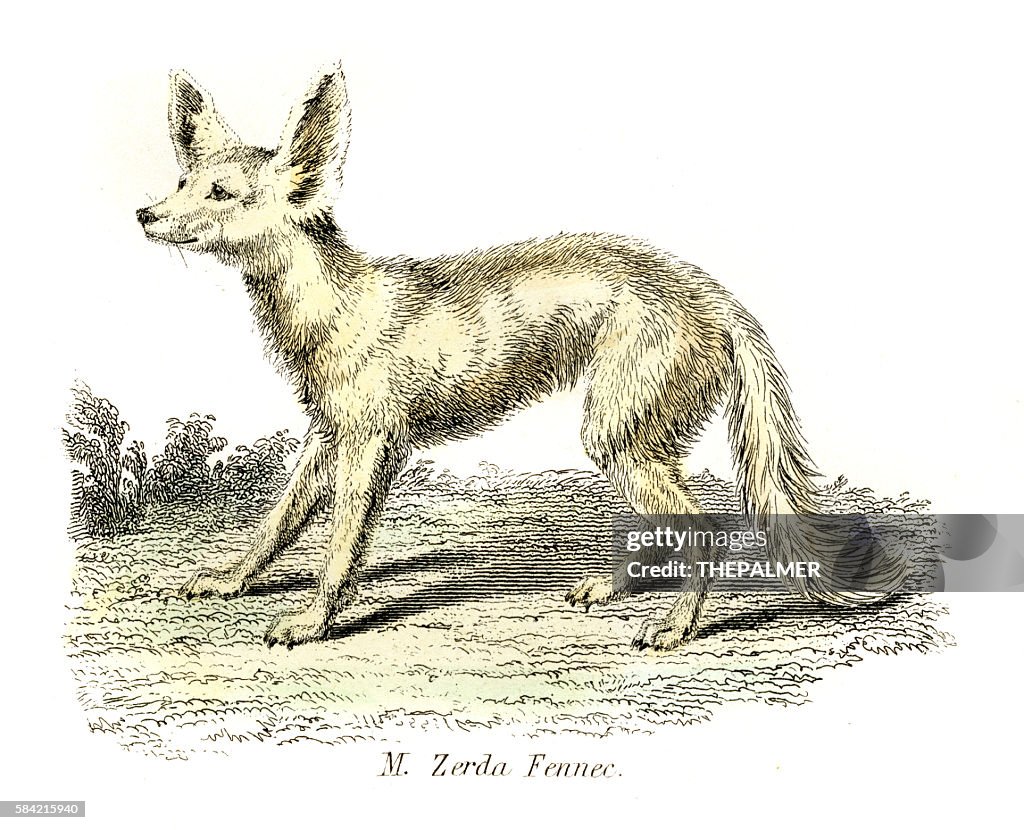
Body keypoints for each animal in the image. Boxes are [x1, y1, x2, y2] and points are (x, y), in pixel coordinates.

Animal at [137, 63, 907, 650]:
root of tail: (717, 298)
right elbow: (279, 521)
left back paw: (674, 626)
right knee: (663, 531)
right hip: (633, 439)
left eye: (220, 193)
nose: (145, 214)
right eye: (182, 182)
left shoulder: (370, 445)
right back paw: (611, 589)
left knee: (705, 530)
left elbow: (340, 546)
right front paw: (230, 580)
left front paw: (310, 622)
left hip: (616, 432)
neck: (338, 305)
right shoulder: (327, 435)